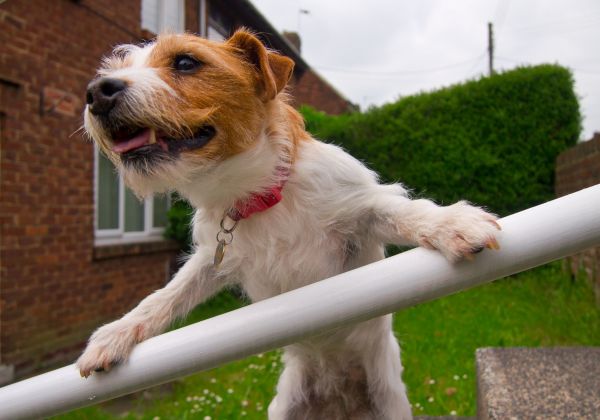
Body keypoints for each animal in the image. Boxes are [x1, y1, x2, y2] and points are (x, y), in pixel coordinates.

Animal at [79, 30, 502, 420]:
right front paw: (114, 335)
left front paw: (453, 223)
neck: (258, 196)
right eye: (114, 71)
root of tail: (339, 399)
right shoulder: (214, 258)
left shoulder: (360, 208)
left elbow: (403, 212)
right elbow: (168, 294)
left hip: (390, 402)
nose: (96, 93)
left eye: (185, 62)